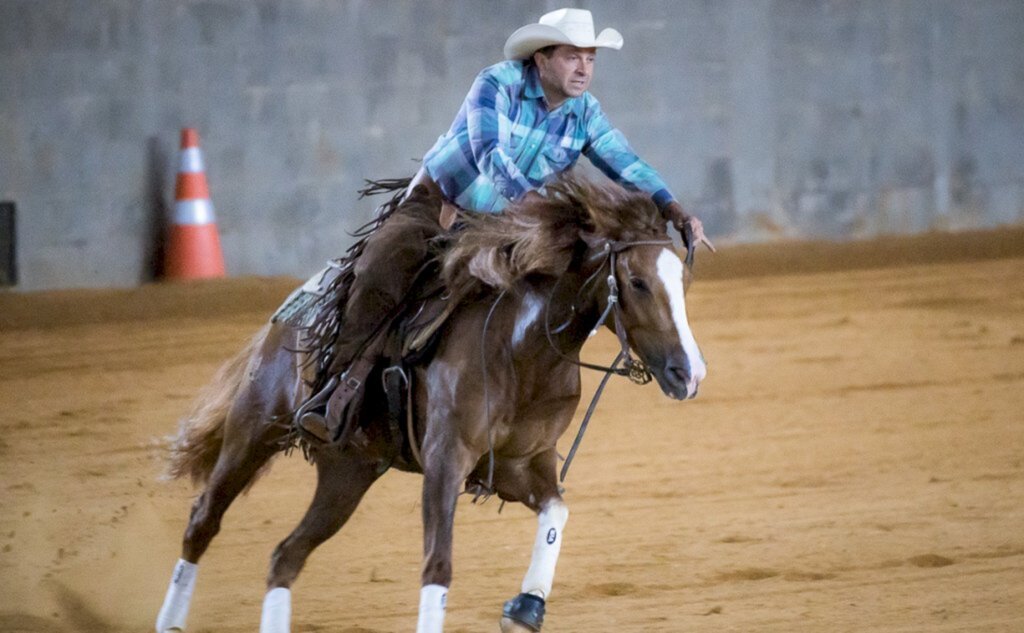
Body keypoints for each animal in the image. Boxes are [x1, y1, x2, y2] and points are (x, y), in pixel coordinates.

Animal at [155, 176, 708, 630]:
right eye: (637, 281)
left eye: (683, 281)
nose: (689, 373)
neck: (519, 347)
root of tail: (293, 308)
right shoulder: (445, 459)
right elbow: (437, 565)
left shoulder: (522, 464)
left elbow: (557, 513)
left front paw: (525, 608)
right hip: (255, 428)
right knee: (203, 521)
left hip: (347, 473)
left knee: (285, 557)